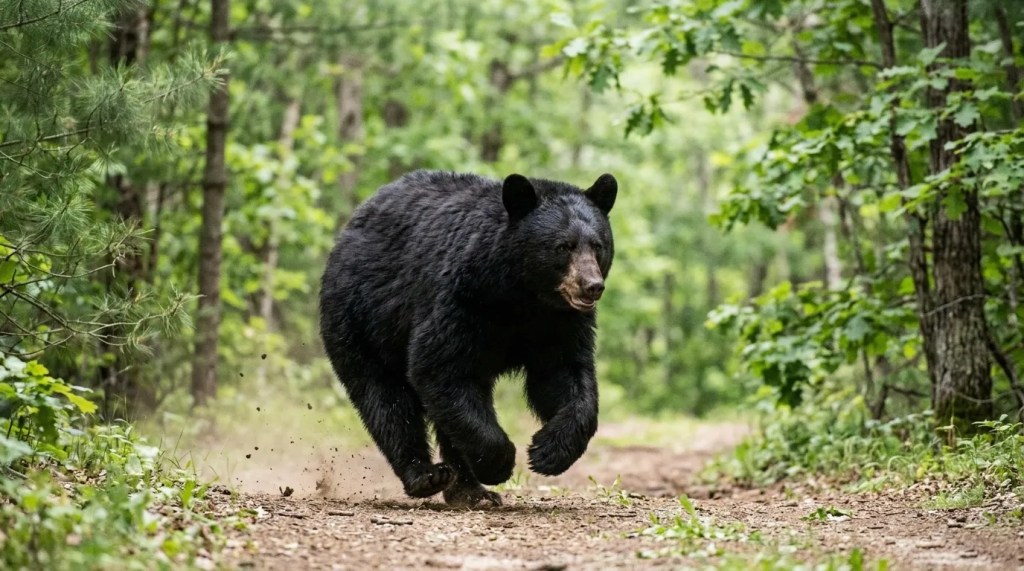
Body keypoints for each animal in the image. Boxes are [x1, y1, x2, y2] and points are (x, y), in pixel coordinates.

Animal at [318, 170, 617, 507]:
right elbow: (439, 365)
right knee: (386, 399)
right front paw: (500, 463)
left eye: (598, 245)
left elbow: (565, 375)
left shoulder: (559, 322)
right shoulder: (463, 299)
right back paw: (426, 475)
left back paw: (469, 490)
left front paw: (547, 451)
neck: (522, 295)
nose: (592, 285)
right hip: (362, 319)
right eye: (563, 246)